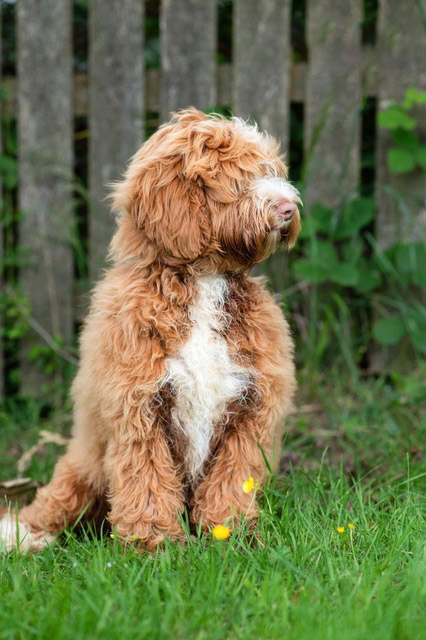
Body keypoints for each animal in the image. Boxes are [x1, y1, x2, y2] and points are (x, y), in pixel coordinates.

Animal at [0, 109, 300, 552]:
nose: (287, 208)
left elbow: (232, 478)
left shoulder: (251, 409)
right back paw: (23, 535)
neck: (203, 281)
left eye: (269, 171)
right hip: (83, 465)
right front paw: (154, 545)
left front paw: (232, 534)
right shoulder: (137, 407)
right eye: (234, 177)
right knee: (56, 504)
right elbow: (147, 479)